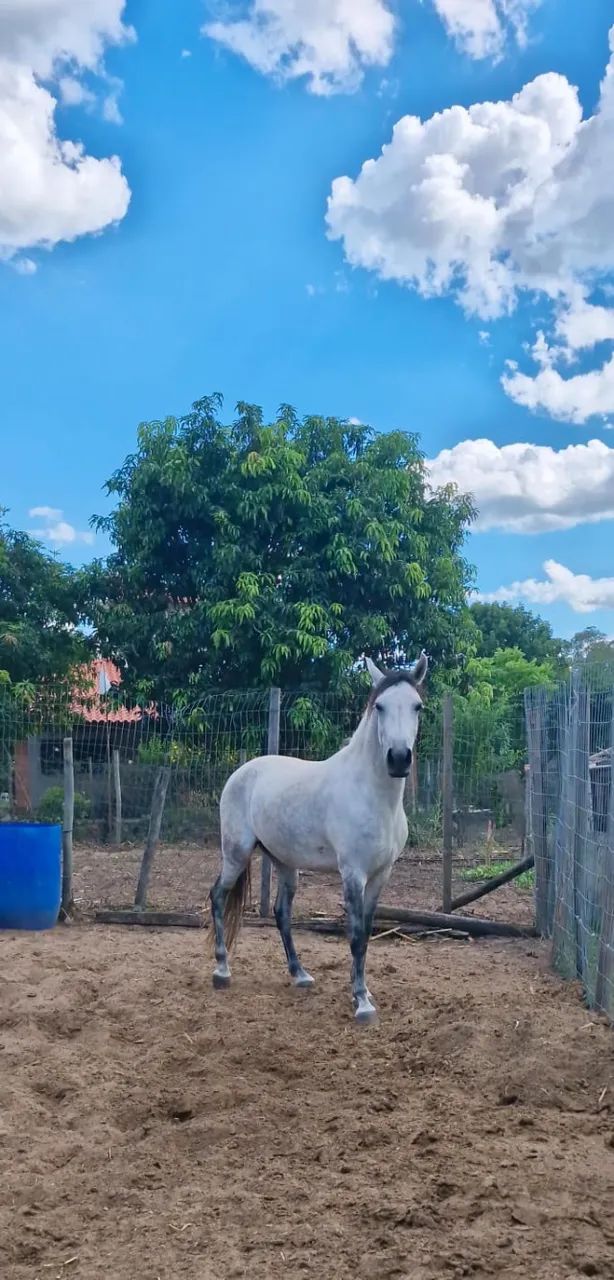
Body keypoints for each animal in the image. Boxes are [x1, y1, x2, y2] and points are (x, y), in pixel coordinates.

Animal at [209, 652, 428, 1023]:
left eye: (417, 706)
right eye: (380, 706)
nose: (398, 759)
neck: (371, 795)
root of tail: (242, 772)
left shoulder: (381, 874)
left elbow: (367, 932)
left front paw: (363, 992)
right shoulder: (352, 873)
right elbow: (355, 936)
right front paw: (362, 1003)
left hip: (285, 863)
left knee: (281, 913)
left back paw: (300, 974)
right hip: (236, 853)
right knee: (218, 897)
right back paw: (222, 971)